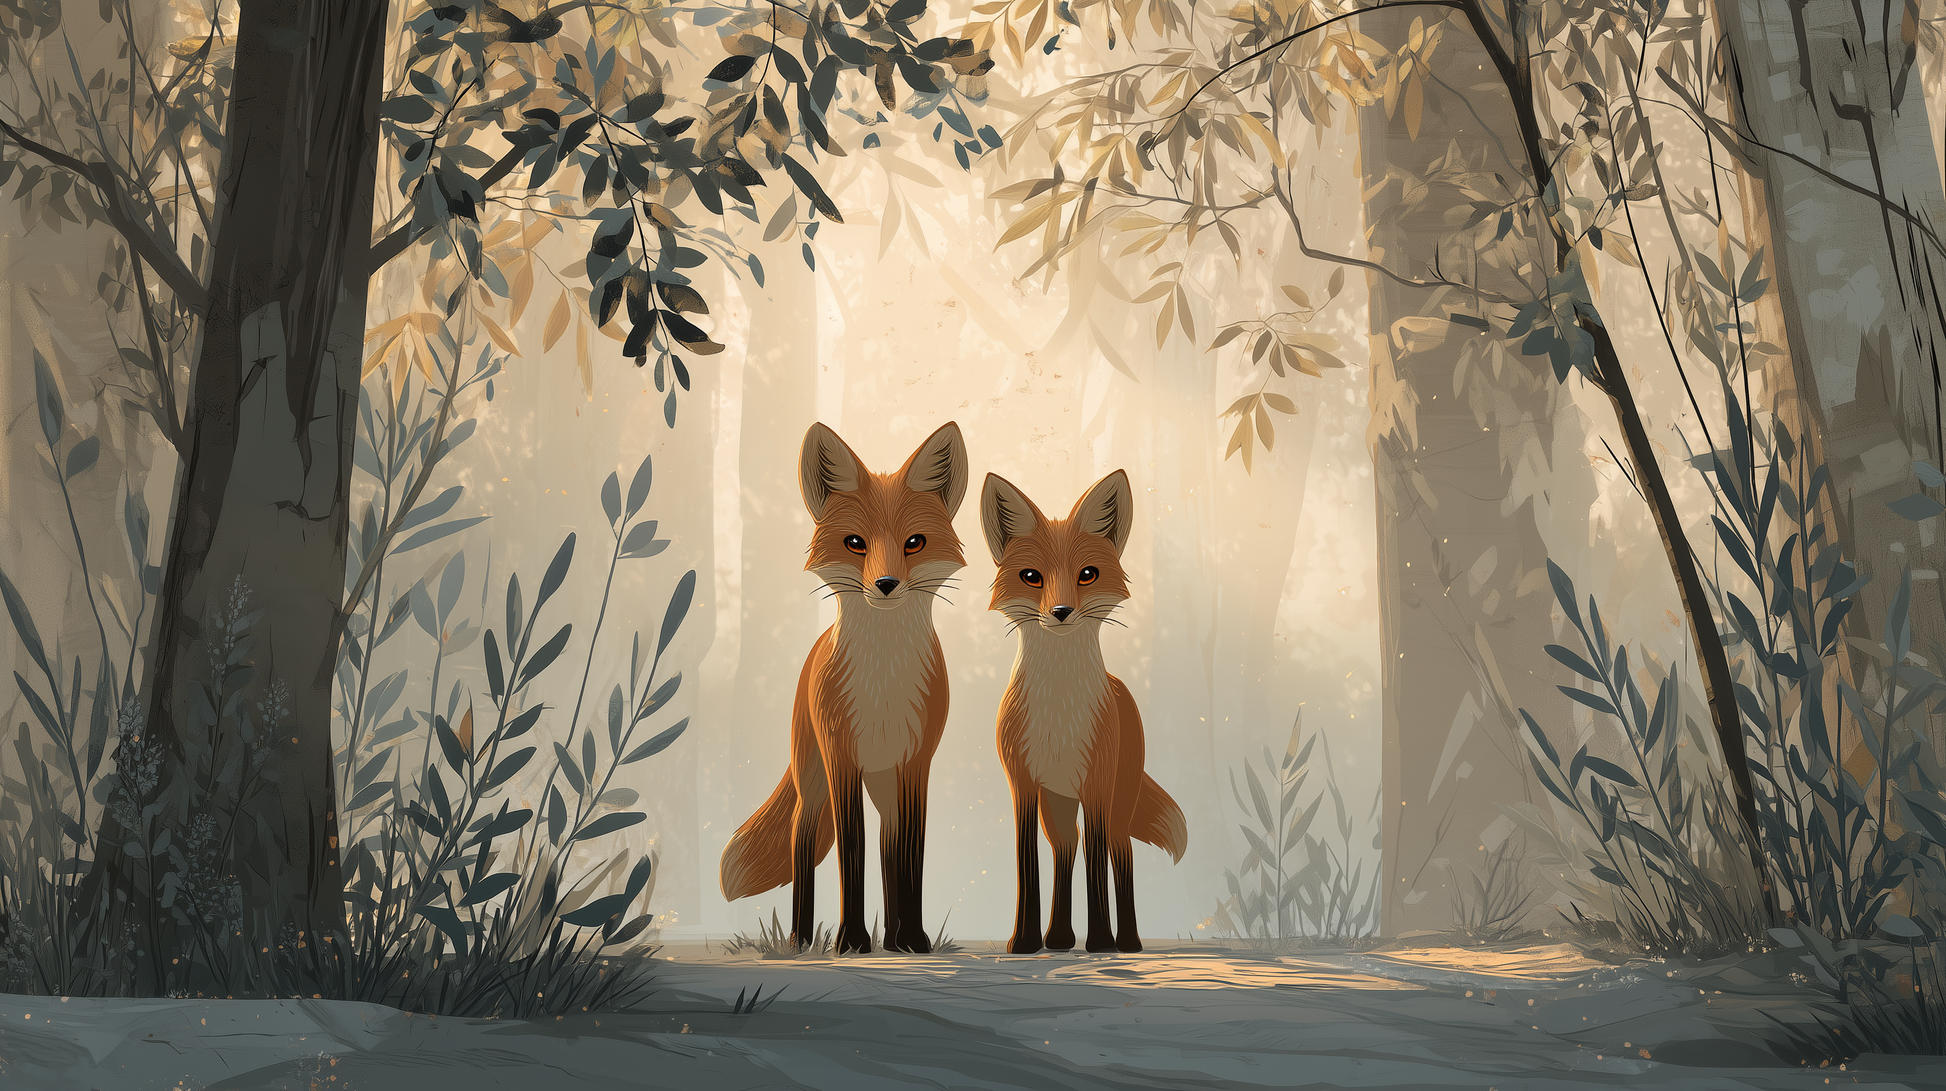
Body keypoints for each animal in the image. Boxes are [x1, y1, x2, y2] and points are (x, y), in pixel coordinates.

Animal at [718, 421, 969, 954]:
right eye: (855, 542)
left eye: (914, 542)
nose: (887, 583)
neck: (883, 685)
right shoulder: (842, 760)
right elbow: (851, 852)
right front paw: (852, 939)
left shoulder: (916, 765)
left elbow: (908, 857)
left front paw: (912, 937)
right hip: (813, 777)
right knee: (802, 836)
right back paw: (799, 937)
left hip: (884, 786)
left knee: (889, 849)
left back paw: (893, 937)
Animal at [980, 470, 1187, 954]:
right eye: (1031, 577)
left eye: (1087, 575)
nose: (1061, 611)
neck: (1059, 709)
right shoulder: (1022, 784)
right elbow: (1028, 864)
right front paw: (1023, 941)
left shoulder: (1096, 780)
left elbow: (1098, 864)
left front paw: (1100, 942)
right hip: (1056, 807)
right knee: (1065, 850)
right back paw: (1057, 937)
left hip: (1117, 801)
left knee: (1118, 853)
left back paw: (1126, 940)